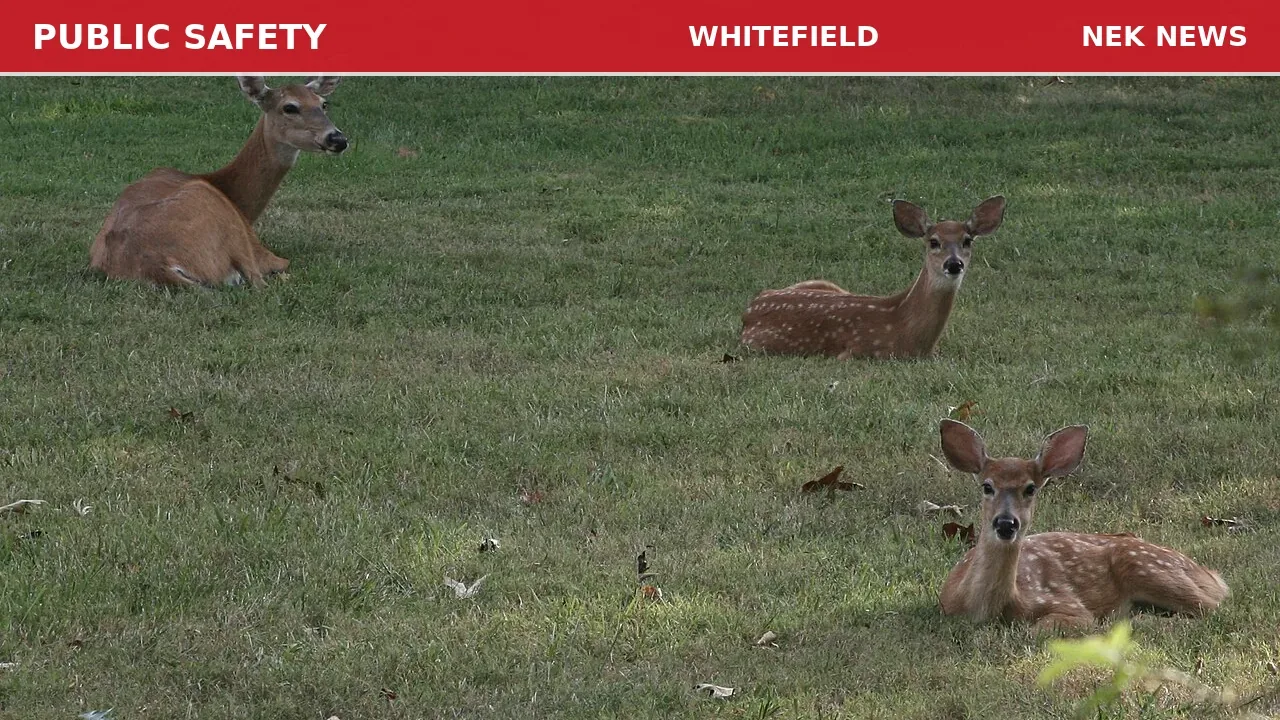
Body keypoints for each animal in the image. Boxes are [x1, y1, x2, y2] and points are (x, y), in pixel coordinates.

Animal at [90, 76, 348, 288]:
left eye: (323, 104)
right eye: (290, 107)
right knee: (259, 282)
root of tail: (157, 264)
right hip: (230, 229)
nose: (338, 139)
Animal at [937, 419, 1229, 631]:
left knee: (1209, 607)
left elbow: (1042, 627)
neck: (982, 607)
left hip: (1145, 566)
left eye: (1030, 488)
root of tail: (1212, 575)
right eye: (987, 486)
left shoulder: (1068, 604)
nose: (1006, 523)